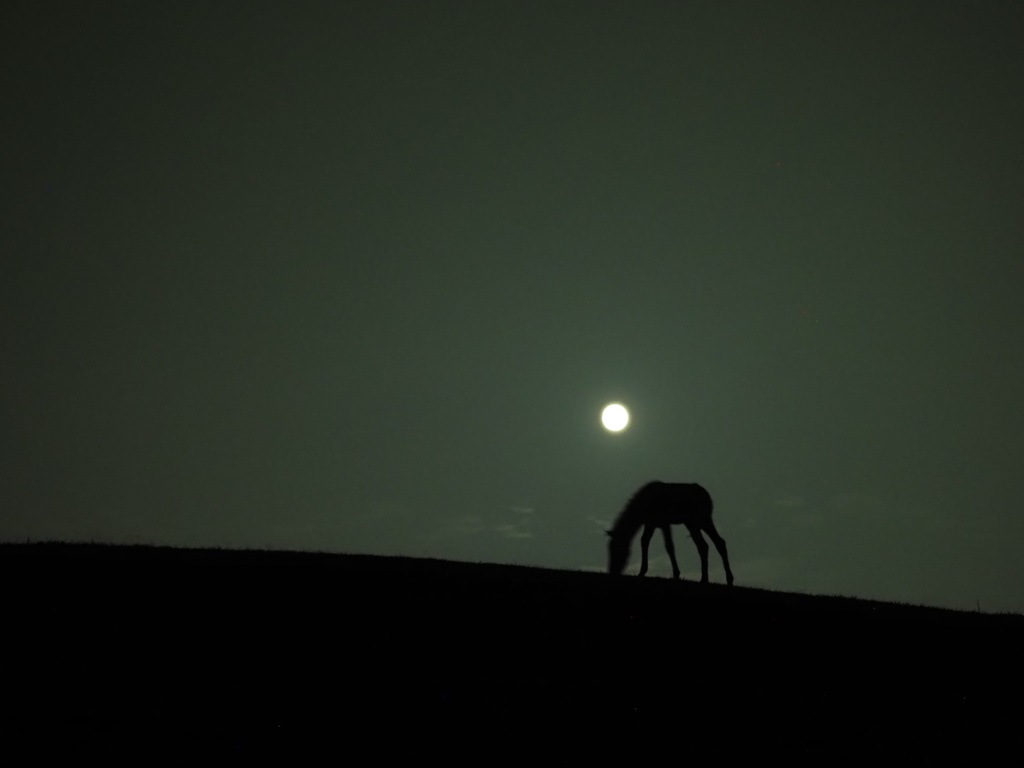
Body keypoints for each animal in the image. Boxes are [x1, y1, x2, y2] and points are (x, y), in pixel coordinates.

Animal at [602, 483, 733, 585]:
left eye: (618, 549)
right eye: (609, 549)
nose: (613, 570)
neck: (646, 503)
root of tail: (707, 495)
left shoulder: (664, 523)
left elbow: (669, 546)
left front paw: (676, 574)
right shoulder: (650, 524)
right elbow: (644, 542)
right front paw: (642, 572)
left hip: (704, 519)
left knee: (719, 542)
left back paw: (729, 579)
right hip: (691, 524)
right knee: (703, 546)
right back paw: (704, 579)